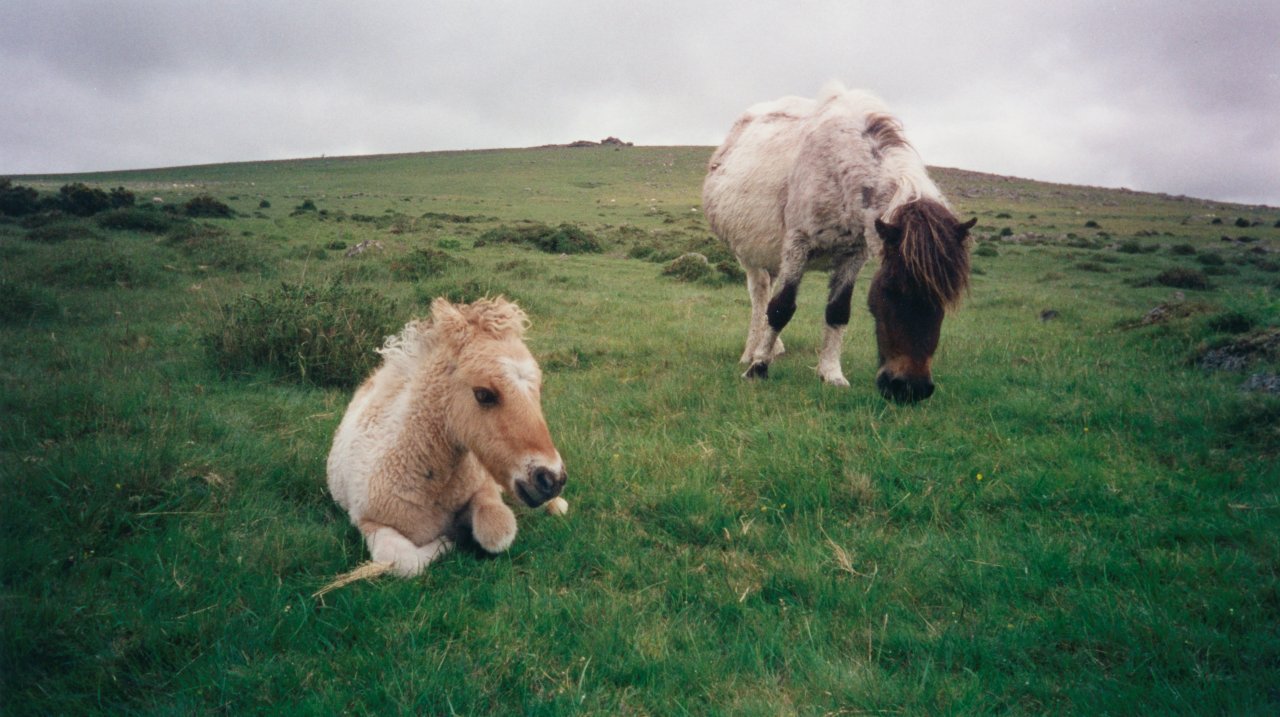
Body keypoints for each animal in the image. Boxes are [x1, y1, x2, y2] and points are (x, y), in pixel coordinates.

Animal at [327, 297, 568, 576]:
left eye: (538, 388)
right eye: (483, 394)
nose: (552, 479)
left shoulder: (484, 489)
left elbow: (497, 531)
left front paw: (462, 531)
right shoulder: (367, 521)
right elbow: (405, 562)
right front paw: (451, 539)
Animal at [701, 83, 967, 404]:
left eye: (945, 298)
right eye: (891, 289)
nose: (911, 389)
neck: (841, 167)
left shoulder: (854, 254)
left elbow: (838, 311)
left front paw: (830, 373)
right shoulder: (798, 245)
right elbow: (781, 307)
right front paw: (758, 368)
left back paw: (774, 348)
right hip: (750, 257)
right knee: (760, 296)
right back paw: (751, 352)